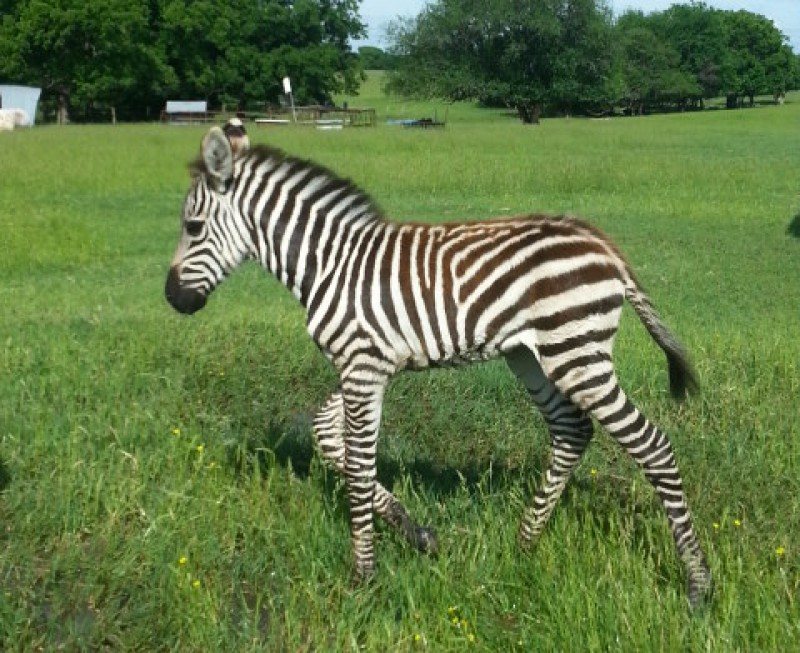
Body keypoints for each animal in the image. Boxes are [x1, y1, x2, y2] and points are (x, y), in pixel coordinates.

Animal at [165, 126, 712, 607]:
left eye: (192, 228)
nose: (172, 299)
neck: (328, 265)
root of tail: (604, 245)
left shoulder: (362, 366)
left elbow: (359, 465)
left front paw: (363, 575)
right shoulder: (365, 366)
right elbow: (326, 435)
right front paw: (418, 534)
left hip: (576, 352)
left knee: (652, 445)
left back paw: (698, 583)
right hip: (534, 356)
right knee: (571, 431)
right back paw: (524, 543)